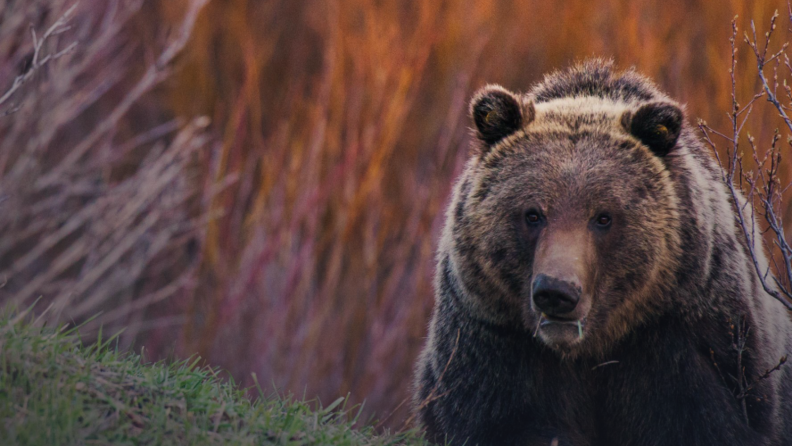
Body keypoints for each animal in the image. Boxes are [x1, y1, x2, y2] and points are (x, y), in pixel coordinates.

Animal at [412, 60, 792, 446]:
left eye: (603, 217)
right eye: (532, 214)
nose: (557, 291)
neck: (589, 349)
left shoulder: (681, 335)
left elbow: (697, 419)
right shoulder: (492, 333)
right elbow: (503, 418)